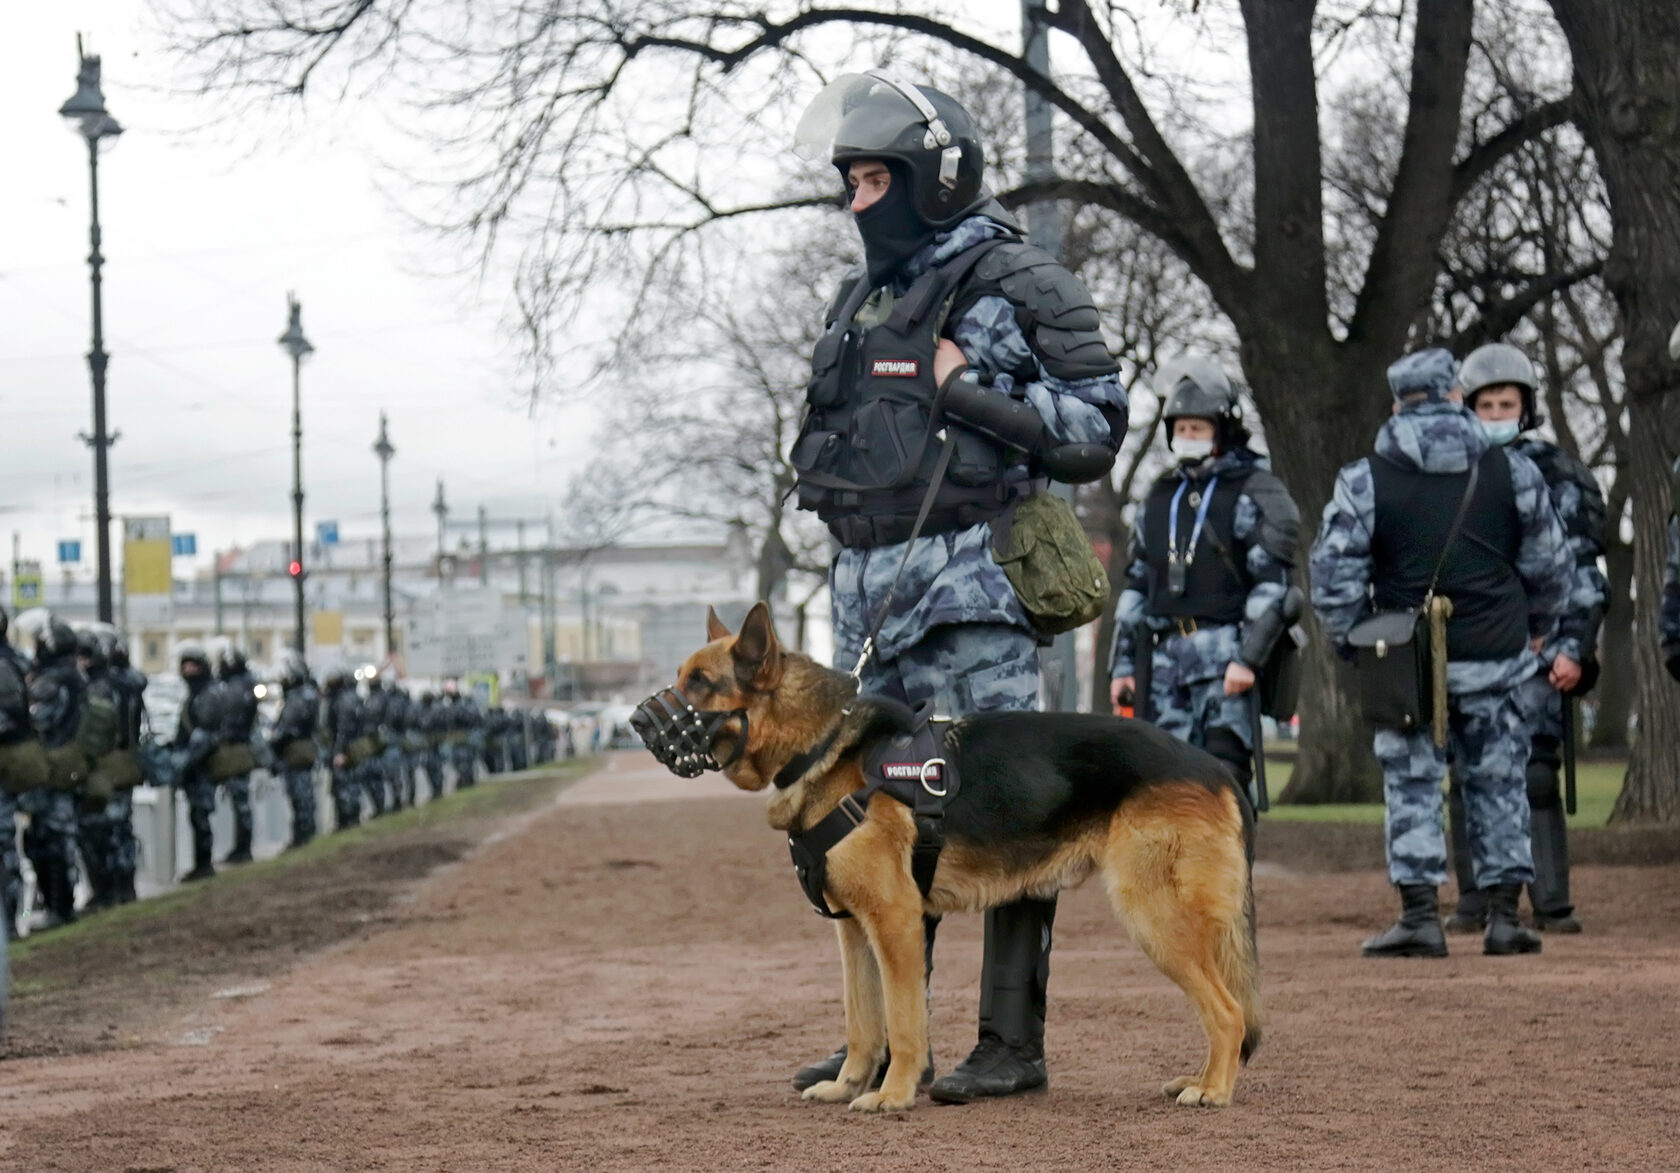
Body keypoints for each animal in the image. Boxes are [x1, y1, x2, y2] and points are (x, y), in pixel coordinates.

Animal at [651, 601, 1263, 1102]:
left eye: (701, 682)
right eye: (683, 676)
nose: (637, 720)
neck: (823, 742)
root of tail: (1216, 769)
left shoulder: (895, 920)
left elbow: (902, 1020)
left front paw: (891, 1096)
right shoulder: (854, 931)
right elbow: (862, 1021)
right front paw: (847, 1085)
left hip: (1154, 917)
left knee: (1230, 1013)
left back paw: (1214, 1091)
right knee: (1225, 1008)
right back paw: (1200, 1078)